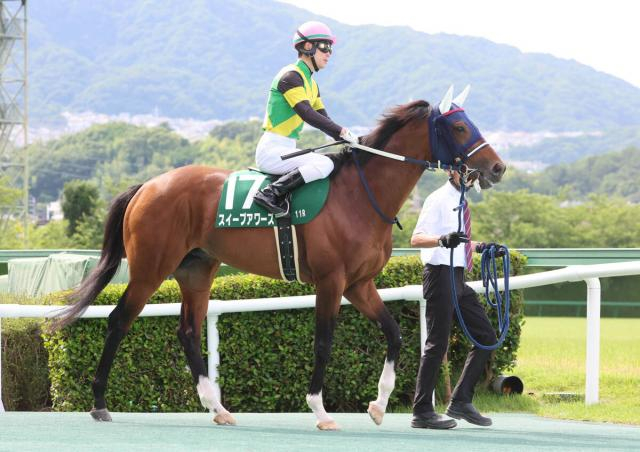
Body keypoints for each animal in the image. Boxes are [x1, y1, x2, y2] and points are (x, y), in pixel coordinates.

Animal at [54, 85, 506, 430]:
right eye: (460, 126)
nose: (498, 167)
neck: (361, 196)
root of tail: (149, 184)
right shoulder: (331, 282)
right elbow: (323, 342)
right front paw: (321, 411)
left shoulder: (360, 284)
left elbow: (394, 334)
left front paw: (378, 406)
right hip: (151, 268)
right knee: (119, 320)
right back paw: (99, 403)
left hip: (198, 270)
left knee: (187, 331)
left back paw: (218, 408)